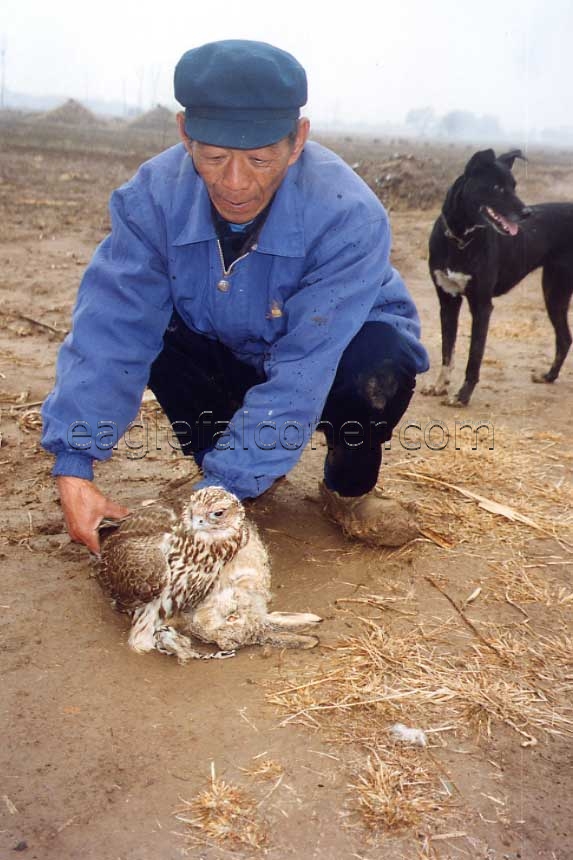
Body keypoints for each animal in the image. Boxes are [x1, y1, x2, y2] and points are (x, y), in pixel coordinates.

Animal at [420, 149, 572, 406]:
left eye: (514, 186)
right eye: (498, 188)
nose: (527, 213)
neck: (460, 239)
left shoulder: (482, 306)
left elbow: (474, 356)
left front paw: (462, 396)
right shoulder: (448, 300)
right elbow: (447, 350)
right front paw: (440, 386)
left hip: (555, 290)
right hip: (554, 291)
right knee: (564, 338)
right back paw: (548, 376)